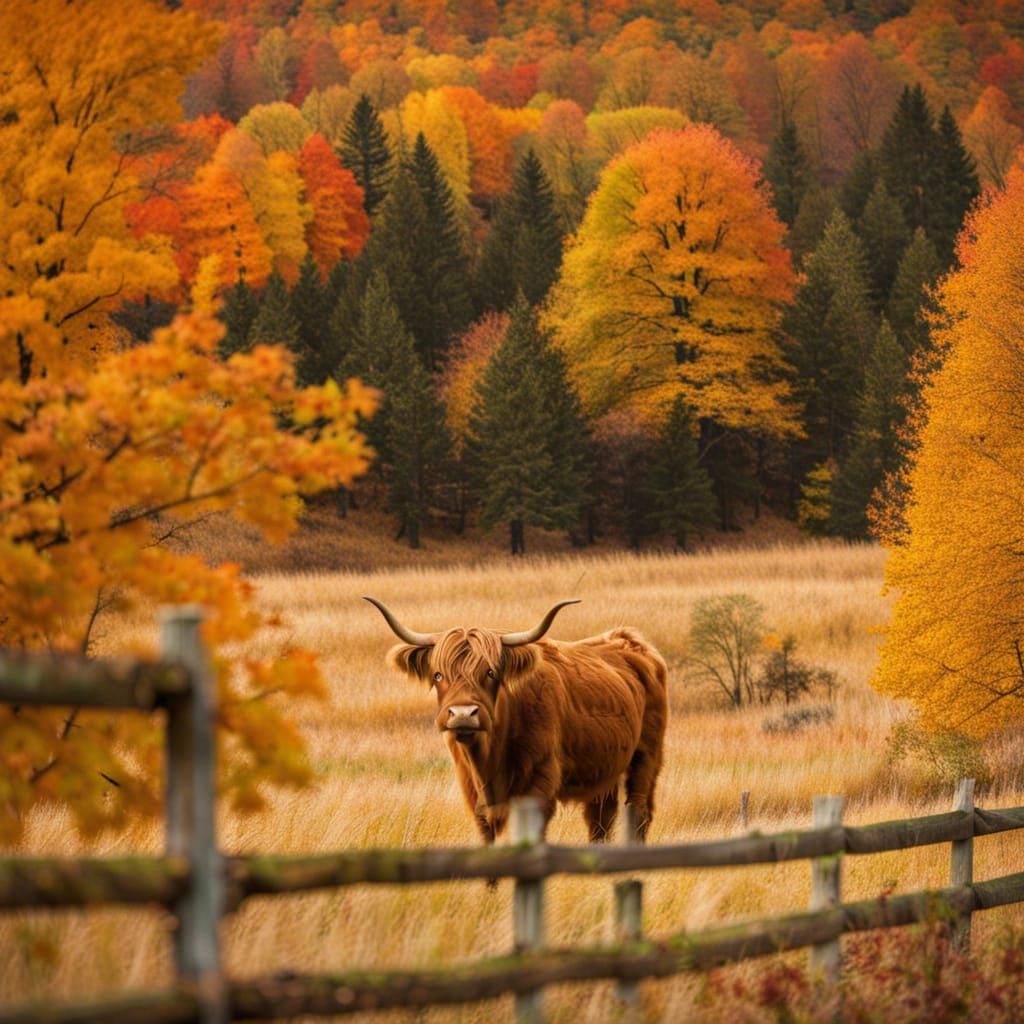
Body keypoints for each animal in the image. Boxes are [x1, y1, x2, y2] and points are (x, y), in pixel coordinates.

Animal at [365, 597, 668, 844]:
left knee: (638, 813)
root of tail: (629, 640)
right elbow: (487, 837)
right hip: (604, 770)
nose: (463, 714)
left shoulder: (539, 783)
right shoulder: (472, 790)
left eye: (490, 672)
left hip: (646, 757)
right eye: (438, 674)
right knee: (600, 820)